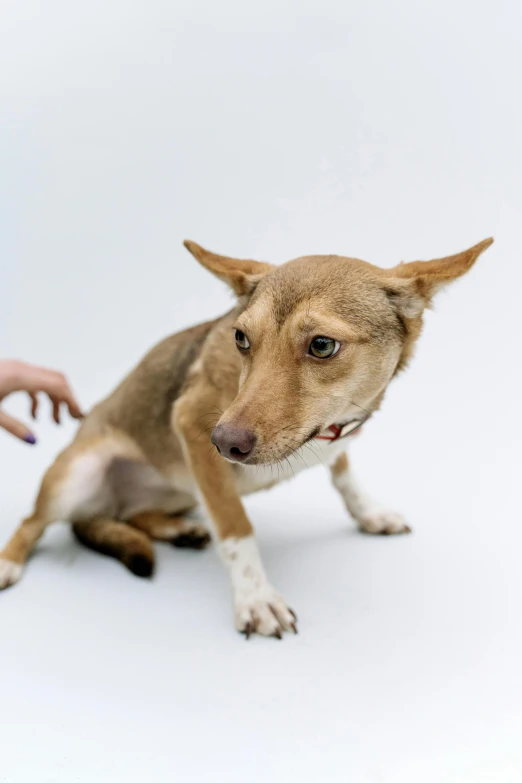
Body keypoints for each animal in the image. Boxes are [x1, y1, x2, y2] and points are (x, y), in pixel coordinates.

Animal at [0, 237, 492, 636]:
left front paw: (369, 513)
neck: (327, 429)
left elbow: (344, 476)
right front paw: (256, 599)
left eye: (322, 345)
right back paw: (8, 563)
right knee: (32, 522)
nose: (223, 444)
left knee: (135, 515)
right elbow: (236, 528)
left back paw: (178, 530)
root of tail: (101, 509)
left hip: (181, 490)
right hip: (76, 477)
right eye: (240, 337)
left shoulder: (335, 440)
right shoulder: (193, 426)